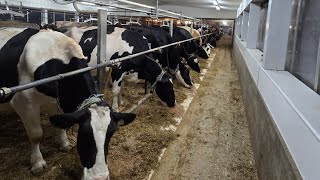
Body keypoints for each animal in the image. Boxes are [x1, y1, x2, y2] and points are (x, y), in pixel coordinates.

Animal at [0, 27, 136, 179]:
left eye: (111, 134)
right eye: (84, 134)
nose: (100, 177)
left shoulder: (56, 101)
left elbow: (61, 124)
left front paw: (64, 144)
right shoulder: (24, 102)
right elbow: (36, 135)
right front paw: (38, 163)